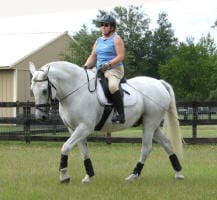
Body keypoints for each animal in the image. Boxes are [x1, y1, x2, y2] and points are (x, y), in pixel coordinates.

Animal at [29, 60, 184, 183]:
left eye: (44, 90)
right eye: (32, 90)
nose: (41, 117)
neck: (76, 90)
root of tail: (158, 83)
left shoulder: (85, 127)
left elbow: (65, 147)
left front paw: (64, 176)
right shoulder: (74, 129)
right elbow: (84, 151)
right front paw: (88, 176)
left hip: (150, 123)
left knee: (146, 148)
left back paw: (133, 175)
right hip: (152, 125)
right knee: (167, 144)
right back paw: (178, 173)